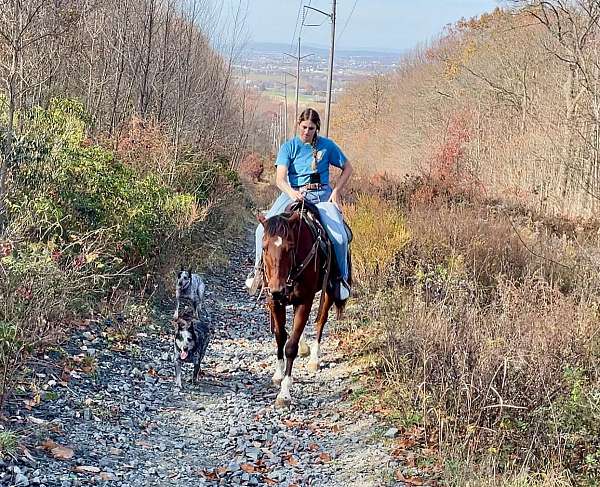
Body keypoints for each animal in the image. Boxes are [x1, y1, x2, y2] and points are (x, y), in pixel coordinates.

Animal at [255, 206, 344, 408]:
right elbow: (280, 337)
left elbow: (290, 347)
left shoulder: (305, 301)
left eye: (290, 247)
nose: (277, 290)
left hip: (328, 291)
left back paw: (314, 359)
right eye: (264, 247)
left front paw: (284, 393)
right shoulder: (274, 302)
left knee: (320, 322)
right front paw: (278, 374)